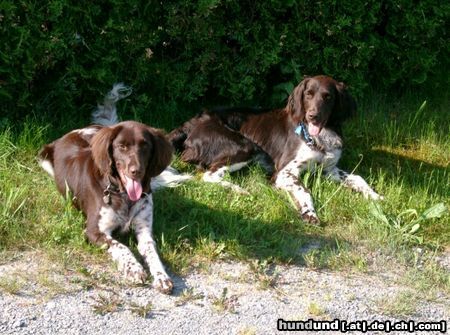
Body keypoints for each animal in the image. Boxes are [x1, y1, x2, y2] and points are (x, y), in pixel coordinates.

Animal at [39, 84, 175, 294]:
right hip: (44, 158)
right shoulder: (94, 231)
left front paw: (162, 277)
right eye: (122, 146)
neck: (123, 195)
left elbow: (152, 253)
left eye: (145, 146)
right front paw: (135, 268)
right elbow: (122, 247)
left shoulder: (144, 229)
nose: (136, 171)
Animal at [169, 75, 384, 224]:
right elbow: (304, 189)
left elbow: (358, 178)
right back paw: (239, 190)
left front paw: (376, 197)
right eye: (308, 94)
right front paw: (309, 212)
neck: (318, 137)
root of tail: (193, 121)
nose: (313, 116)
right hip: (244, 146)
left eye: (328, 97)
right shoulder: (284, 172)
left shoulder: (328, 169)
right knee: (207, 176)